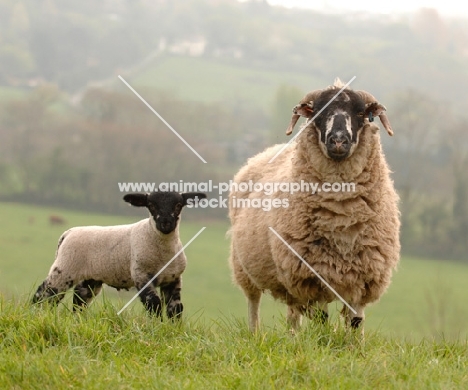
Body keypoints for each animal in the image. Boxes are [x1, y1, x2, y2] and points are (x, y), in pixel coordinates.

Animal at [33, 190, 206, 318]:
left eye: (178, 205)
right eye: (151, 205)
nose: (165, 223)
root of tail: (67, 233)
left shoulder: (173, 279)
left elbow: (175, 309)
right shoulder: (141, 275)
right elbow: (154, 303)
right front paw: (157, 327)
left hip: (90, 279)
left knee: (79, 301)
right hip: (64, 269)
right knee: (45, 294)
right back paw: (36, 314)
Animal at [229, 80, 400, 332]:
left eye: (361, 113)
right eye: (318, 111)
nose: (338, 140)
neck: (342, 214)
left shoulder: (364, 275)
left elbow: (355, 322)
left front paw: (352, 342)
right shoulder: (312, 276)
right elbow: (321, 320)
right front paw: (322, 340)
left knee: (293, 314)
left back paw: (292, 336)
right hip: (245, 267)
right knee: (253, 302)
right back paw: (254, 334)